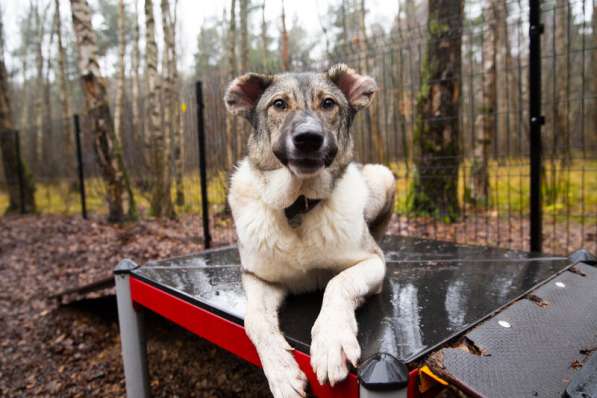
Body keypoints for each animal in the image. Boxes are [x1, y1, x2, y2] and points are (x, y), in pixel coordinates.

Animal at [224, 63, 396, 396]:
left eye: (328, 103)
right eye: (279, 104)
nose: (308, 138)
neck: (298, 206)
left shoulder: (372, 262)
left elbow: (338, 283)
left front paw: (331, 341)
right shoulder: (258, 277)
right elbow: (255, 320)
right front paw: (281, 372)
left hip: (384, 176)